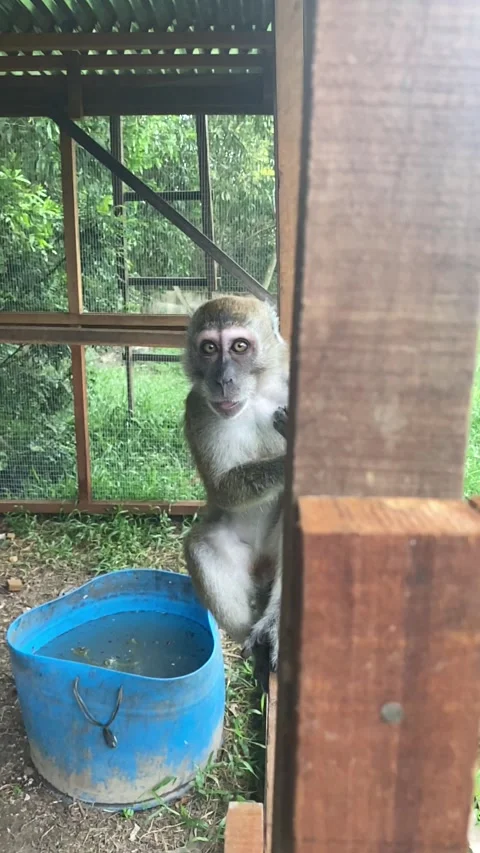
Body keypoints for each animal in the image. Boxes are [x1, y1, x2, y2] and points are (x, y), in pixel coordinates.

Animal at [182, 295, 289, 687]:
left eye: (239, 346)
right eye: (209, 348)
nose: (223, 379)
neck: (256, 397)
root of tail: (261, 564)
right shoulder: (197, 407)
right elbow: (222, 490)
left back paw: (274, 623)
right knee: (201, 547)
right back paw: (254, 644)